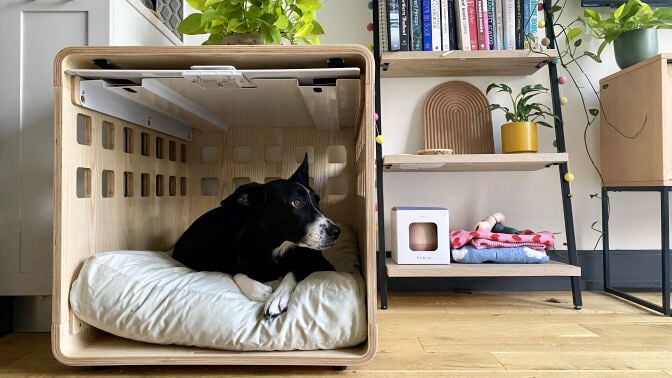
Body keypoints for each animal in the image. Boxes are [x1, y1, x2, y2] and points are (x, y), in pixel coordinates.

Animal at [171, 156, 338, 318]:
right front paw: (260, 291)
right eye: (296, 202)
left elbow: (293, 271)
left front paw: (278, 297)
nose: (336, 232)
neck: (276, 247)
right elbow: (237, 273)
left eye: (317, 201)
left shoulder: (322, 264)